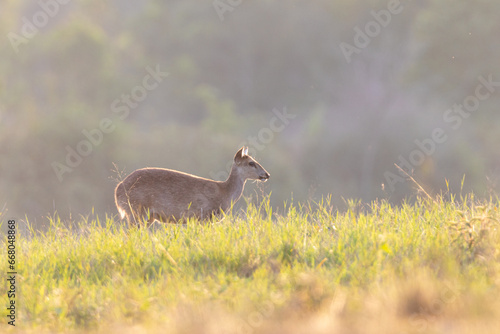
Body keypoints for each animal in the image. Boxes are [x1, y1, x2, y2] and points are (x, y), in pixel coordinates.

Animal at [114, 146, 270, 224]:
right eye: (251, 163)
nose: (267, 174)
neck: (224, 193)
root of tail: (118, 190)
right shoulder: (205, 216)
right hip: (136, 210)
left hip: (147, 216)